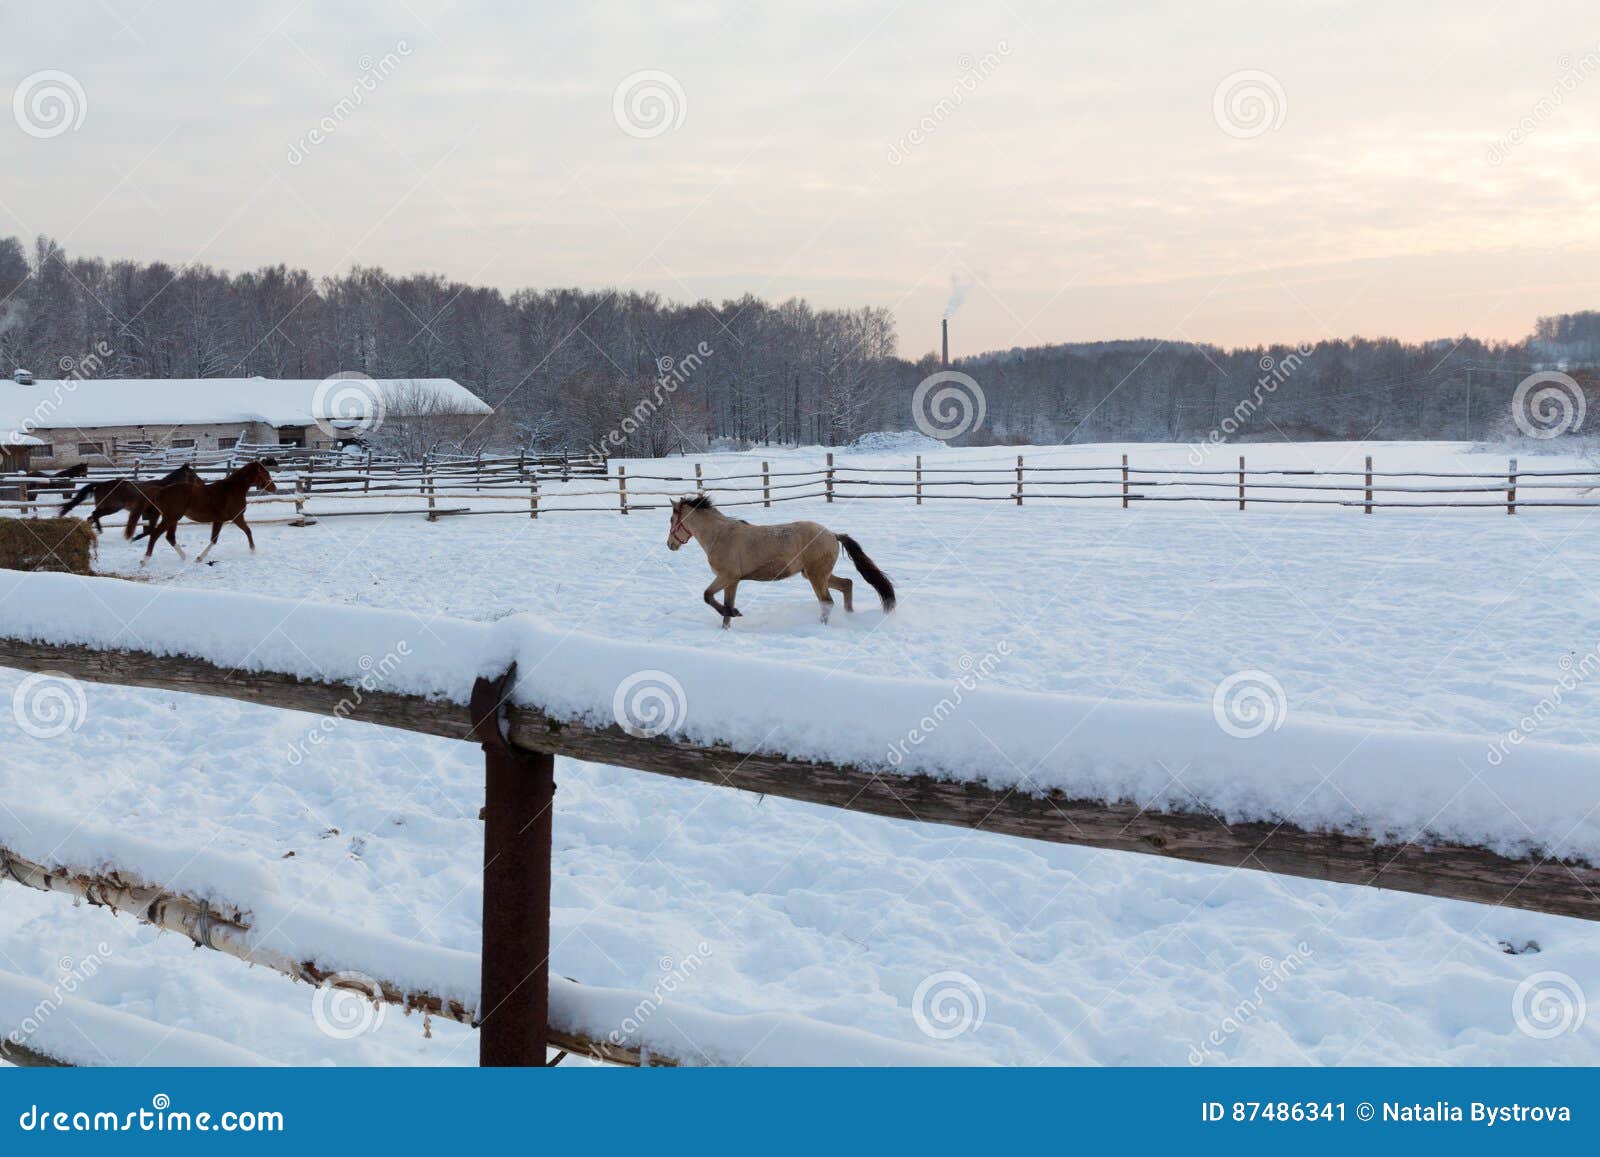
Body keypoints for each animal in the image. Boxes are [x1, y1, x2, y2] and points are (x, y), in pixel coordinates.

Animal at [60, 464, 202, 536]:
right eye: (194, 475)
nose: (201, 483)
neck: (164, 488)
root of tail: (100, 485)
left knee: (91, 517)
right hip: (111, 507)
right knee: (94, 515)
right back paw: (99, 531)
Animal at [129, 461, 277, 565]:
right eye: (265, 473)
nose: (274, 488)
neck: (233, 490)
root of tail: (162, 490)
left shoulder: (219, 520)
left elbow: (214, 540)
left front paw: (199, 558)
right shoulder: (237, 517)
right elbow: (248, 531)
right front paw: (253, 551)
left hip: (173, 519)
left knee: (170, 537)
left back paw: (184, 557)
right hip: (170, 518)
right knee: (155, 535)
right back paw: (144, 560)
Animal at [667, 494, 896, 627]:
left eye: (671, 520)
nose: (670, 544)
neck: (720, 535)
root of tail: (832, 534)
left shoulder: (726, 576)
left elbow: (707, 596)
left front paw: (735, 613)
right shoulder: (733, 581)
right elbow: (724, 604)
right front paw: (728, 622)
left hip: (816, 576)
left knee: (827, 602)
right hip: (816, 574)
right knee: (847, 584)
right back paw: (849, 616)